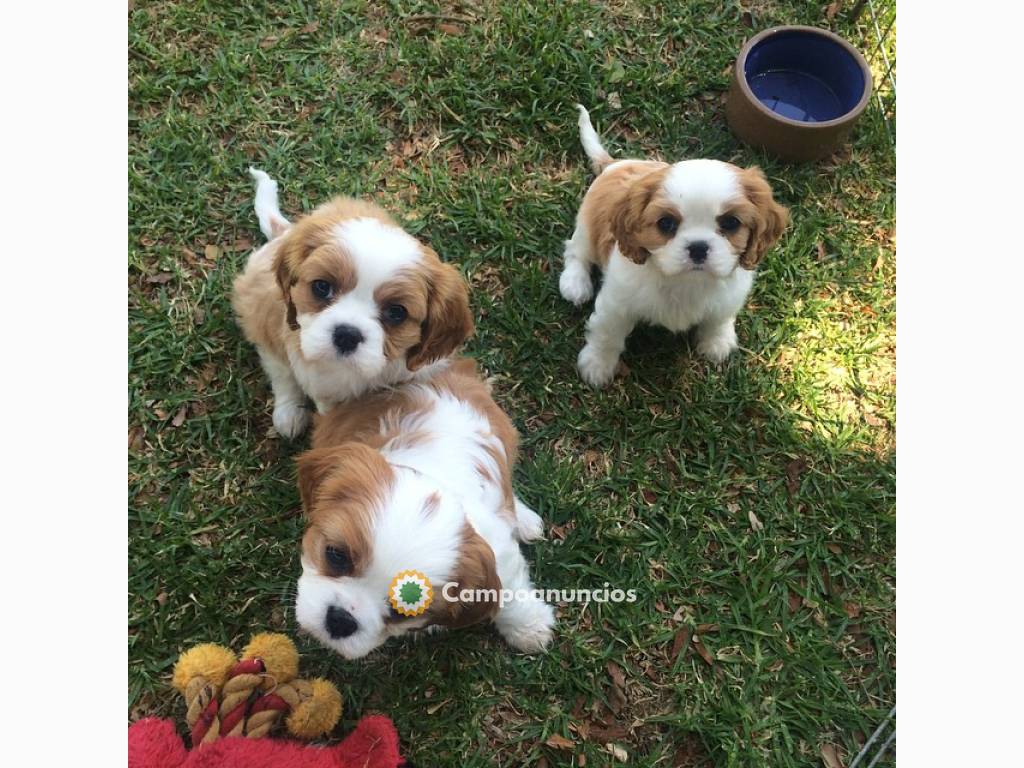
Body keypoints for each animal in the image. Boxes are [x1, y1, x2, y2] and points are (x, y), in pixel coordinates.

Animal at [232, 168, 471, 438]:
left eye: (396, 312)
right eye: (322, 287)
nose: (347, 335)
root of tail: (286, 233)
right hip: (264, 311)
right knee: (278, 367)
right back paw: (289, 412)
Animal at [292, 360, 557, 663]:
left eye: (401, 613)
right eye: (336, 555)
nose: (340, 620)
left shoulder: (497, 548)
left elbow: (509, 590)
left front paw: (529, 626)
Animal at [557, 105, 786, 387]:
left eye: (731, 223)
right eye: (666, 223)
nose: (698, 247)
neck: (685, 281)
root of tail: (615, 163)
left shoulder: (729, 297)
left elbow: (719, 319)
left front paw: (717, 343)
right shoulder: (616, 304)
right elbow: (606, 335)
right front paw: (597, 365)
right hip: (587, 227)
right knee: (575, 251)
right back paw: (575, 283)